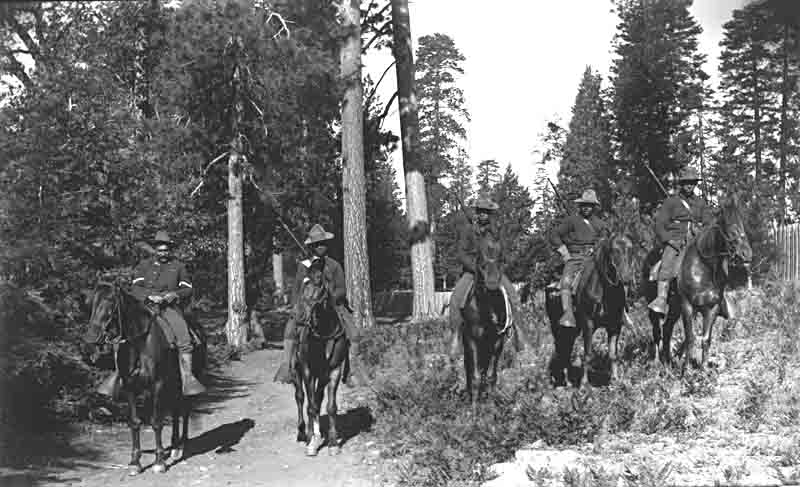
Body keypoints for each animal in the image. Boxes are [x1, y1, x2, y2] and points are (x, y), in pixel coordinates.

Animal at [81, 282, 205, 476]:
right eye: (91, 304)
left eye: (110, 304)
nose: (89, 341)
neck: (140, 343)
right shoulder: (130, 386)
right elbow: (135, 422)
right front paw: (135, 462)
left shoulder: (157, 385)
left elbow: (156, 422)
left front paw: (159, 462)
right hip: (173, 384)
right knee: (176, 410)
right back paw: (174, 445)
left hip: (186, 380)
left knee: (184, 409)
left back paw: (180, 446)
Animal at [290, 260, 346, 458]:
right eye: (302, 283)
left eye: (318, 283)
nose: (298, 316)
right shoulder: (307, 370)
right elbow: (310, 406)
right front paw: (311, 442)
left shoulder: (335, 370)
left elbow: (330, 406)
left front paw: (333, 443)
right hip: (296, 371)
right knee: (301, 398)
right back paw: (303, 432)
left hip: (321, 376)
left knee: (318, 397)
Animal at [460, 234, 510, 414]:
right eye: (480, 260)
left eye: (501, 259)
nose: (492, 284)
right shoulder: (472, 341)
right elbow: (474, 376)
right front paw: (474, 411)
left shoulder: (497, 342)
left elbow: (490, 376)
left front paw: (490, 406)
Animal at [548, 234, 636, 388]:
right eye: (614, 250)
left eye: (630, 249)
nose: (626, 278)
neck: (604, 290)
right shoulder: (588, 323)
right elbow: (588, 354)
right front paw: (584, 384)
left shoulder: (615, 325)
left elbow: (613, 354)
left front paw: (614, 381)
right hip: (557, 328)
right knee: (561, 349)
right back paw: (562, 382)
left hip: (573, 330)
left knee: (567, 349)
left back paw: (568, 381)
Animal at [644, 198, 752, 370]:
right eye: (728, 227)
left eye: (741, 223)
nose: (746, 254)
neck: (704, 268)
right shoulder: (687, 306)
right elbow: (690, 338)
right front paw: (687, 370)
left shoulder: (711, 308)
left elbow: (706, 339)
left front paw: (703, 369)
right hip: (656, 308)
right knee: (657, 332)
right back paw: (656, 363)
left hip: (674, 309)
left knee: (667, 329)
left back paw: (668, 362)